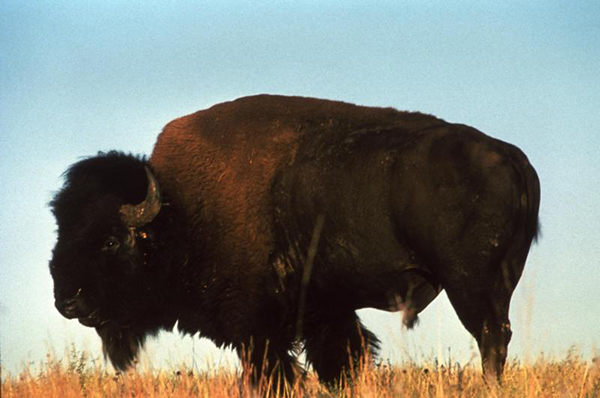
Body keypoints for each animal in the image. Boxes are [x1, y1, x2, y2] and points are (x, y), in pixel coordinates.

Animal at [50, 93, 540, 386]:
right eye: (61, 229)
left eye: (111, 241)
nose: (67, 301)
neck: (181, 211)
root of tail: (511, 156)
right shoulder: (325, 313)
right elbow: (343, 359)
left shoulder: (256, 327)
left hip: (470, 285)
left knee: (490, 338)